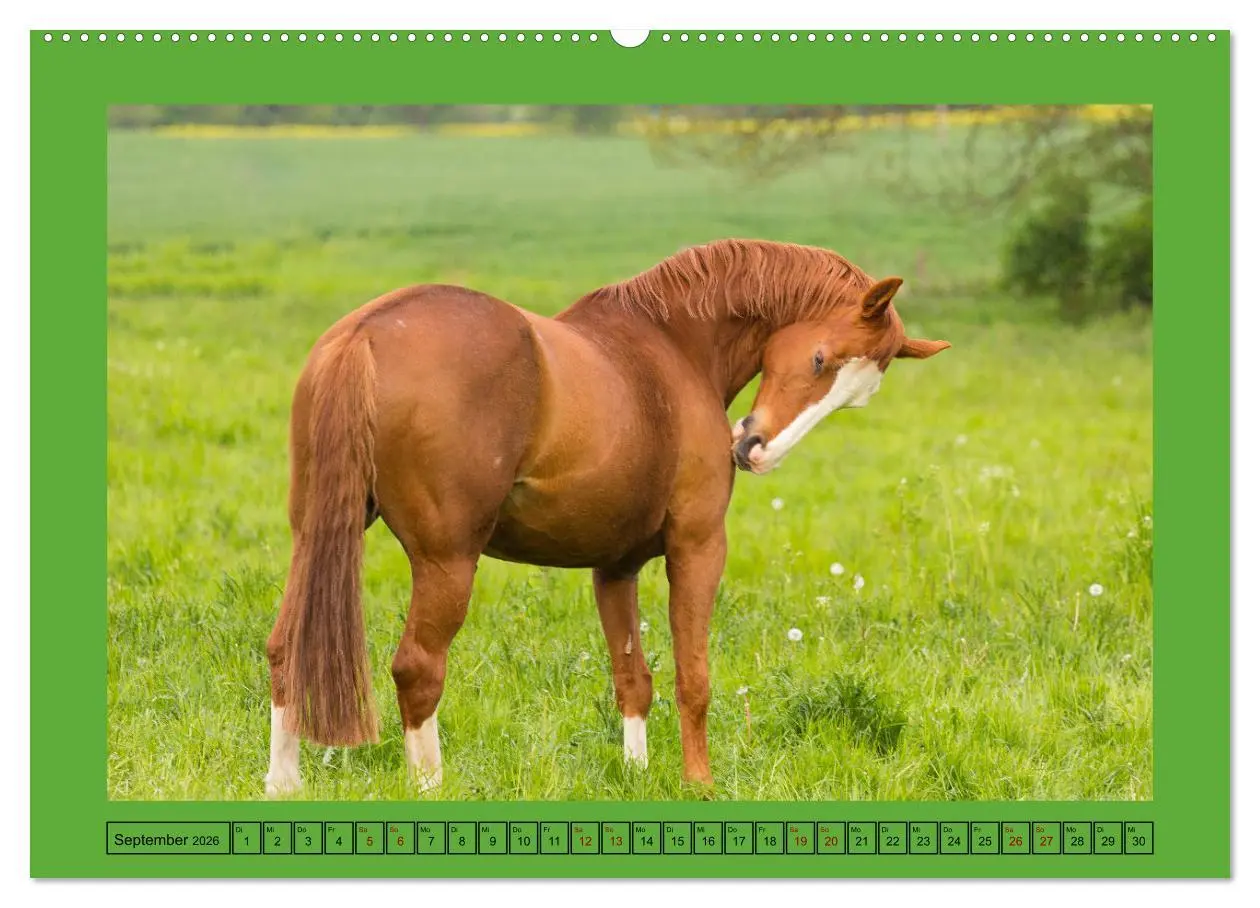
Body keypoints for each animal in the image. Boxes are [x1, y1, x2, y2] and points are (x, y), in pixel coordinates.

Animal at [264, 238, 949, 797]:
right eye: (819, 359)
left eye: (855, 397)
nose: (757, 451)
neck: (670, 347)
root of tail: (368, 331)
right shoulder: (699, 547)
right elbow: (693, 675)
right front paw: (698, 783)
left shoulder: (614, 567)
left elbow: (633, 676)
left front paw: (636, 774)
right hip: (447, 562)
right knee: (418, 669)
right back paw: (429, 787)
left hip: (317, 535)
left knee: (285, 651)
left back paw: (283, 784)